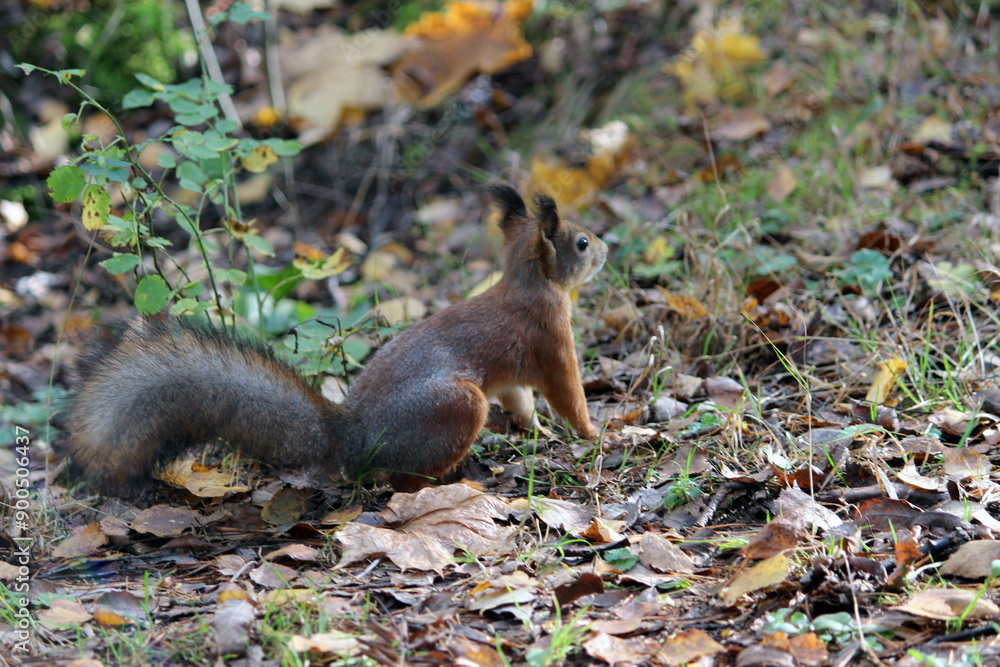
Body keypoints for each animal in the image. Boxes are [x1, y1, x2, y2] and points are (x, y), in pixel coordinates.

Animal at [59, 184, 608, 496]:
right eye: (581, 243)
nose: (606, 247)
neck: (526, 282)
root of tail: (353, 437)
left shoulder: (517, 370)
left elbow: (521, 397)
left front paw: (537, 430)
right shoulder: (551, 335)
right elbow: (567, 390)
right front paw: (594, 434)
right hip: (456, 405)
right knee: (402, 480)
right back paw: (458, 479)